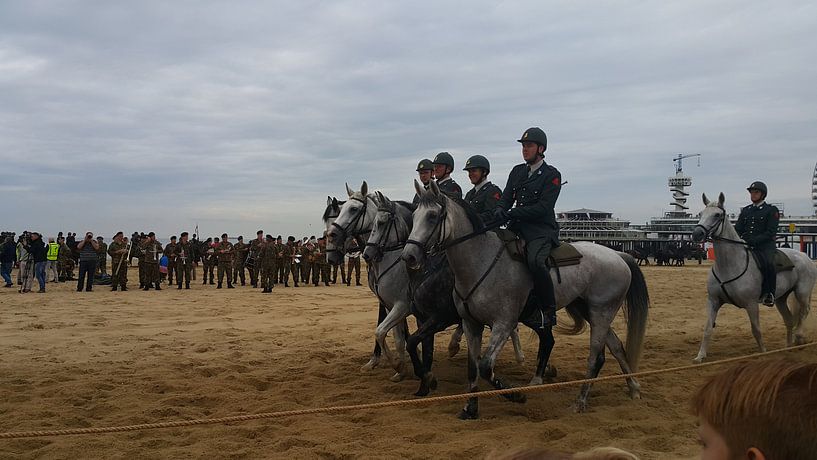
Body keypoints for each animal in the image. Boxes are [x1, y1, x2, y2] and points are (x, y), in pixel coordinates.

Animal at [404, 181, 652, 418]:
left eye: (432, 216)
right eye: (414, 217)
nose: (409, 256)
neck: (481, 261)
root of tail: (618, 254)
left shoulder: (503, 323)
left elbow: (485, 366)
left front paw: (516, 395)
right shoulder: (470, 323)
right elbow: (472, 368)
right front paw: (470, 409)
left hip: (602, 312)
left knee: (595, 356)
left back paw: (580, 401)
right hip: (588, 310)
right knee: (616, 347)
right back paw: (633, 387)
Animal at [688, 192, 816, 364]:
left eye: (717, 215)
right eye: (701, 214)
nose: (697, 234)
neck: (729, 265)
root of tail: (803, 255)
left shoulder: (751, 304)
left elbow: (756, 329)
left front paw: (763, 353)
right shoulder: (713, 301)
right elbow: (708, 328)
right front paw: (700, 356)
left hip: (802, 292)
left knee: (804, 311)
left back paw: (799, 336)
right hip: (781, 299)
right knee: (789, 320)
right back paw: (788, 347)